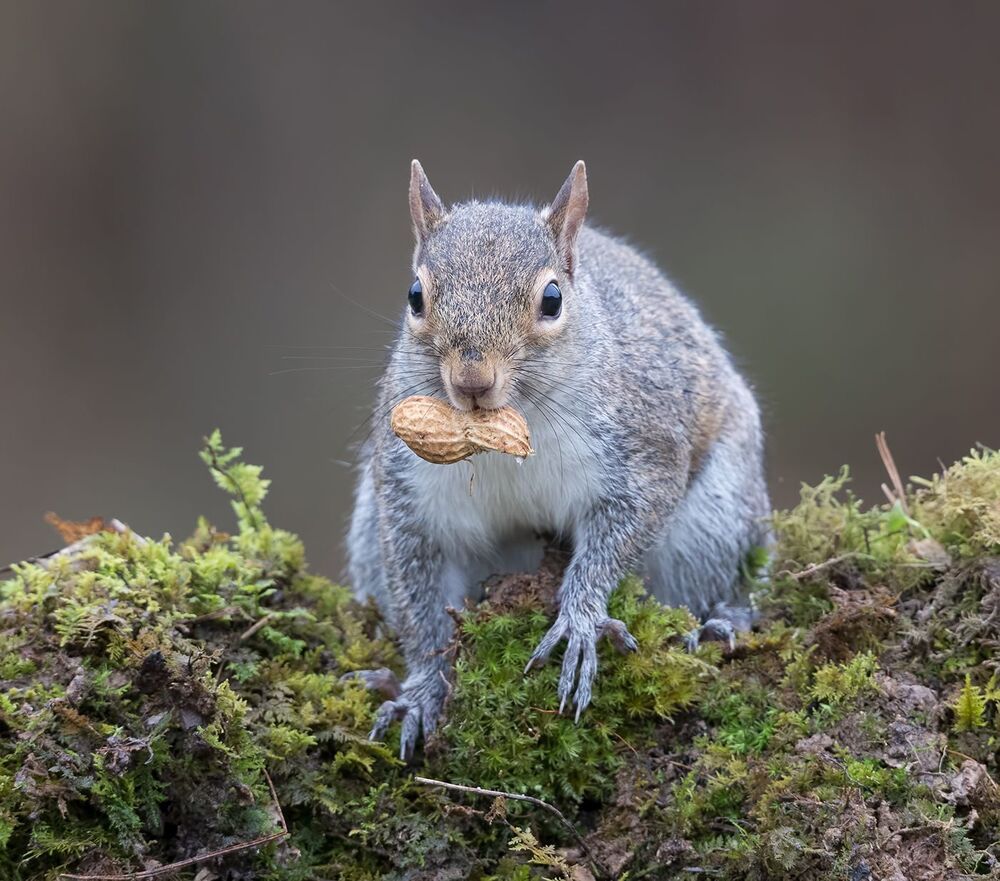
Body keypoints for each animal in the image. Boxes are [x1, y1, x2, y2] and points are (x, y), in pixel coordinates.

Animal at [345, 160, 770, 759]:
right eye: (414, 296)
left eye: (552, 300)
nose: (472, 380)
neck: (499, 434)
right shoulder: (409, 497)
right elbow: (420, 607)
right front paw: (420, 691)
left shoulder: (643, 450)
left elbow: (617, 538)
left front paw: (580, 619)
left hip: (715, 519)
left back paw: (721, 621)